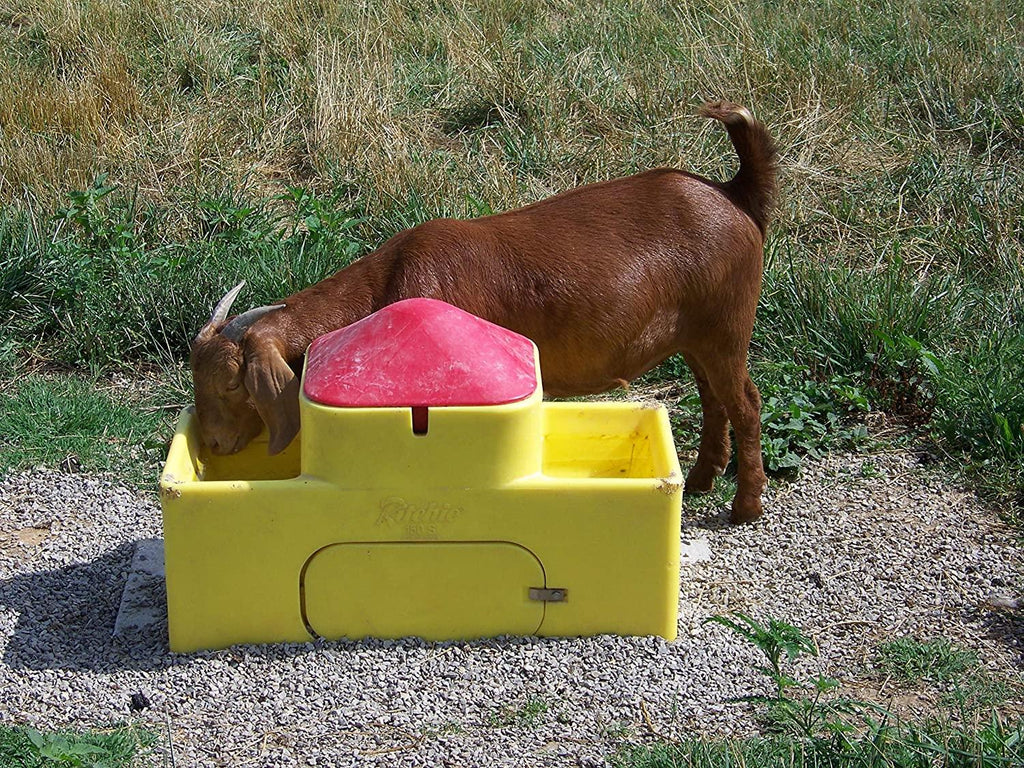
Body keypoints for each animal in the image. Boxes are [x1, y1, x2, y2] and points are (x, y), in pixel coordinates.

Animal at [190, 101, 777, 523]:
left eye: (232, 384)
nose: (213, 443)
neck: (389, 280)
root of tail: (734, 195)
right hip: (697, 336)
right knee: (714, 401)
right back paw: (700, 479)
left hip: (727, 326)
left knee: (745, 403)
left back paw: (745, 507)